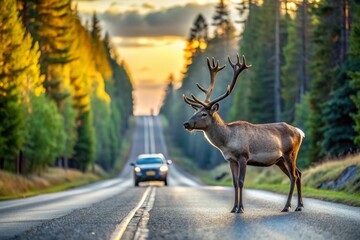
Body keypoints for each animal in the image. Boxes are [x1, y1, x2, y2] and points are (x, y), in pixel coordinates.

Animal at [183, 55, 304, 213]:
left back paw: (287, 206)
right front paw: (234, 208)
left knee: (294, 176)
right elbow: (234, 183)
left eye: (203, 114)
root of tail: (300, 132)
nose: (186, 124)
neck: (227, 142)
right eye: (195, 112)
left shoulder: (243, 157)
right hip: (280, 160)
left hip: (290, 153)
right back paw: (299, 205)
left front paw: (240, 208)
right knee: (298, 174)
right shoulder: (231, 160)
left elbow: (241, 182)